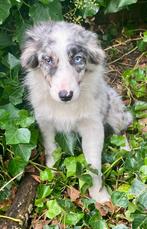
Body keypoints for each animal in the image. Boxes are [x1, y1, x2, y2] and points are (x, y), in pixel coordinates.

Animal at [20, 21, 132, 203]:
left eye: (78, 58)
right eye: (48, 60)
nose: (65, 95)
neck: (66, 107)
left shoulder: (92, 126)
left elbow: (93, 163)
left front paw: (100, 195)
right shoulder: (45, 121)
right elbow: (51, 146)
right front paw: (52, 169)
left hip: (114, 109)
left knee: (122, 129)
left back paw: (125, 149)